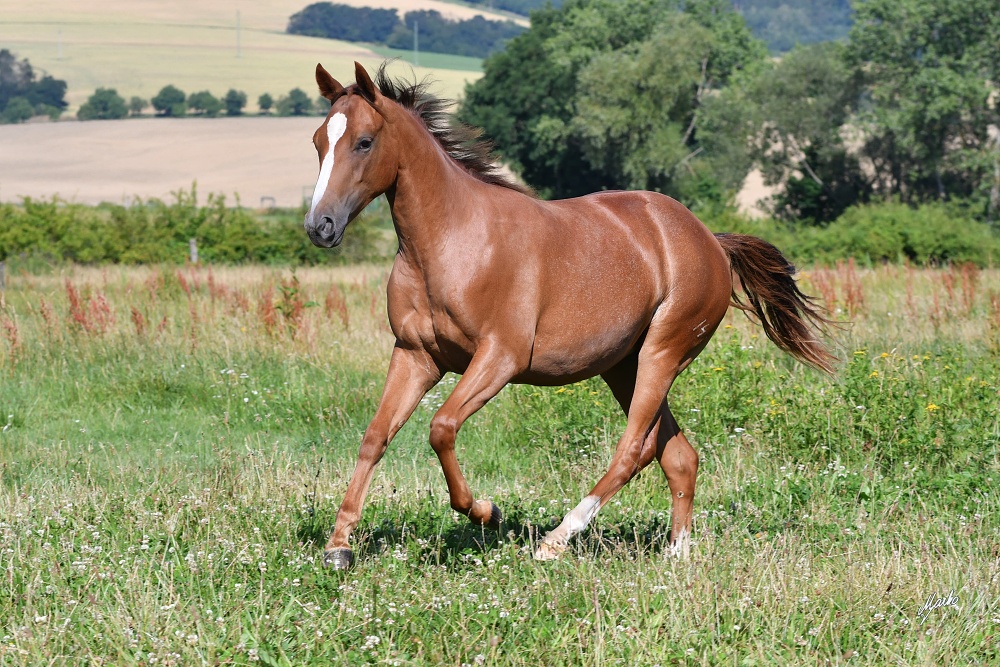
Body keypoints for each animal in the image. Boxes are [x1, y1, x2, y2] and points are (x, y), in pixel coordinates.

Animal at [306, 62, 836, 568]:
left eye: (364, 142)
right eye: (318, 141)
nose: (319, 226)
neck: (450, 244)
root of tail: (711, 241)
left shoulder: (499, 358)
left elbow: (442, 428)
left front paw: (487, 512)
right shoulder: (416, 356)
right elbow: (375, 437)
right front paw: (338, 547)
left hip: (664, 354)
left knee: (634, 449)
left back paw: (557, 540)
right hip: (623, 366)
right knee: (677, 455)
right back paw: (676, 554)